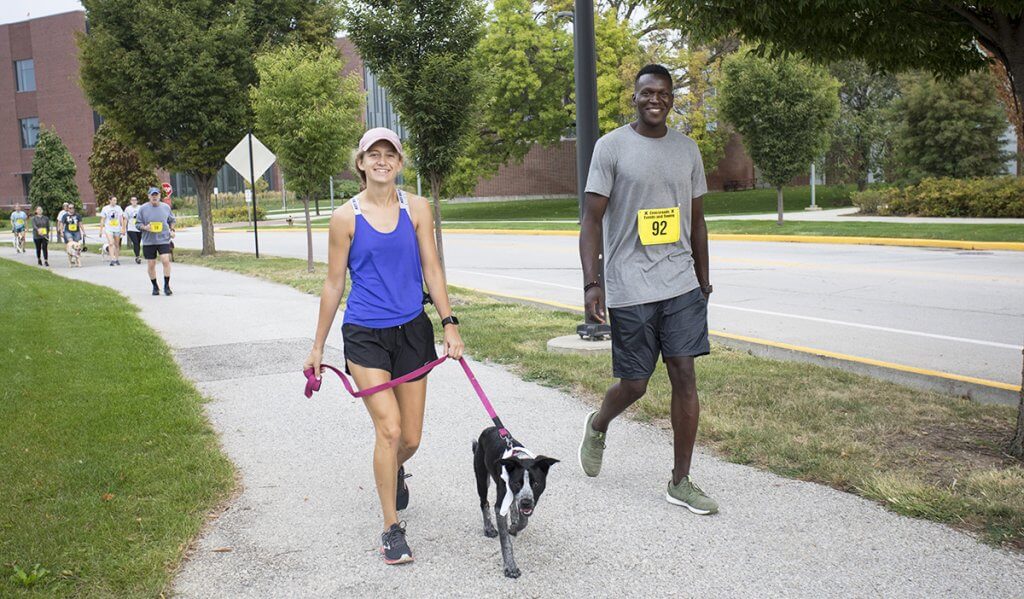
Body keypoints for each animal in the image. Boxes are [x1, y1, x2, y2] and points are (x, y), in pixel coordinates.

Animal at [473, 421, 561, 577]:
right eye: (516, 483)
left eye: (536, 483)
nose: (526, 502)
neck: (521, 458)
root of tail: (489, 429)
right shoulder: (500, 506)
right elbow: (505, 541)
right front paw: (510, 567)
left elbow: (524, 521)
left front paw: (514, 527)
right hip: (482, 480)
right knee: (484, 503)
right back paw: (488, 528)